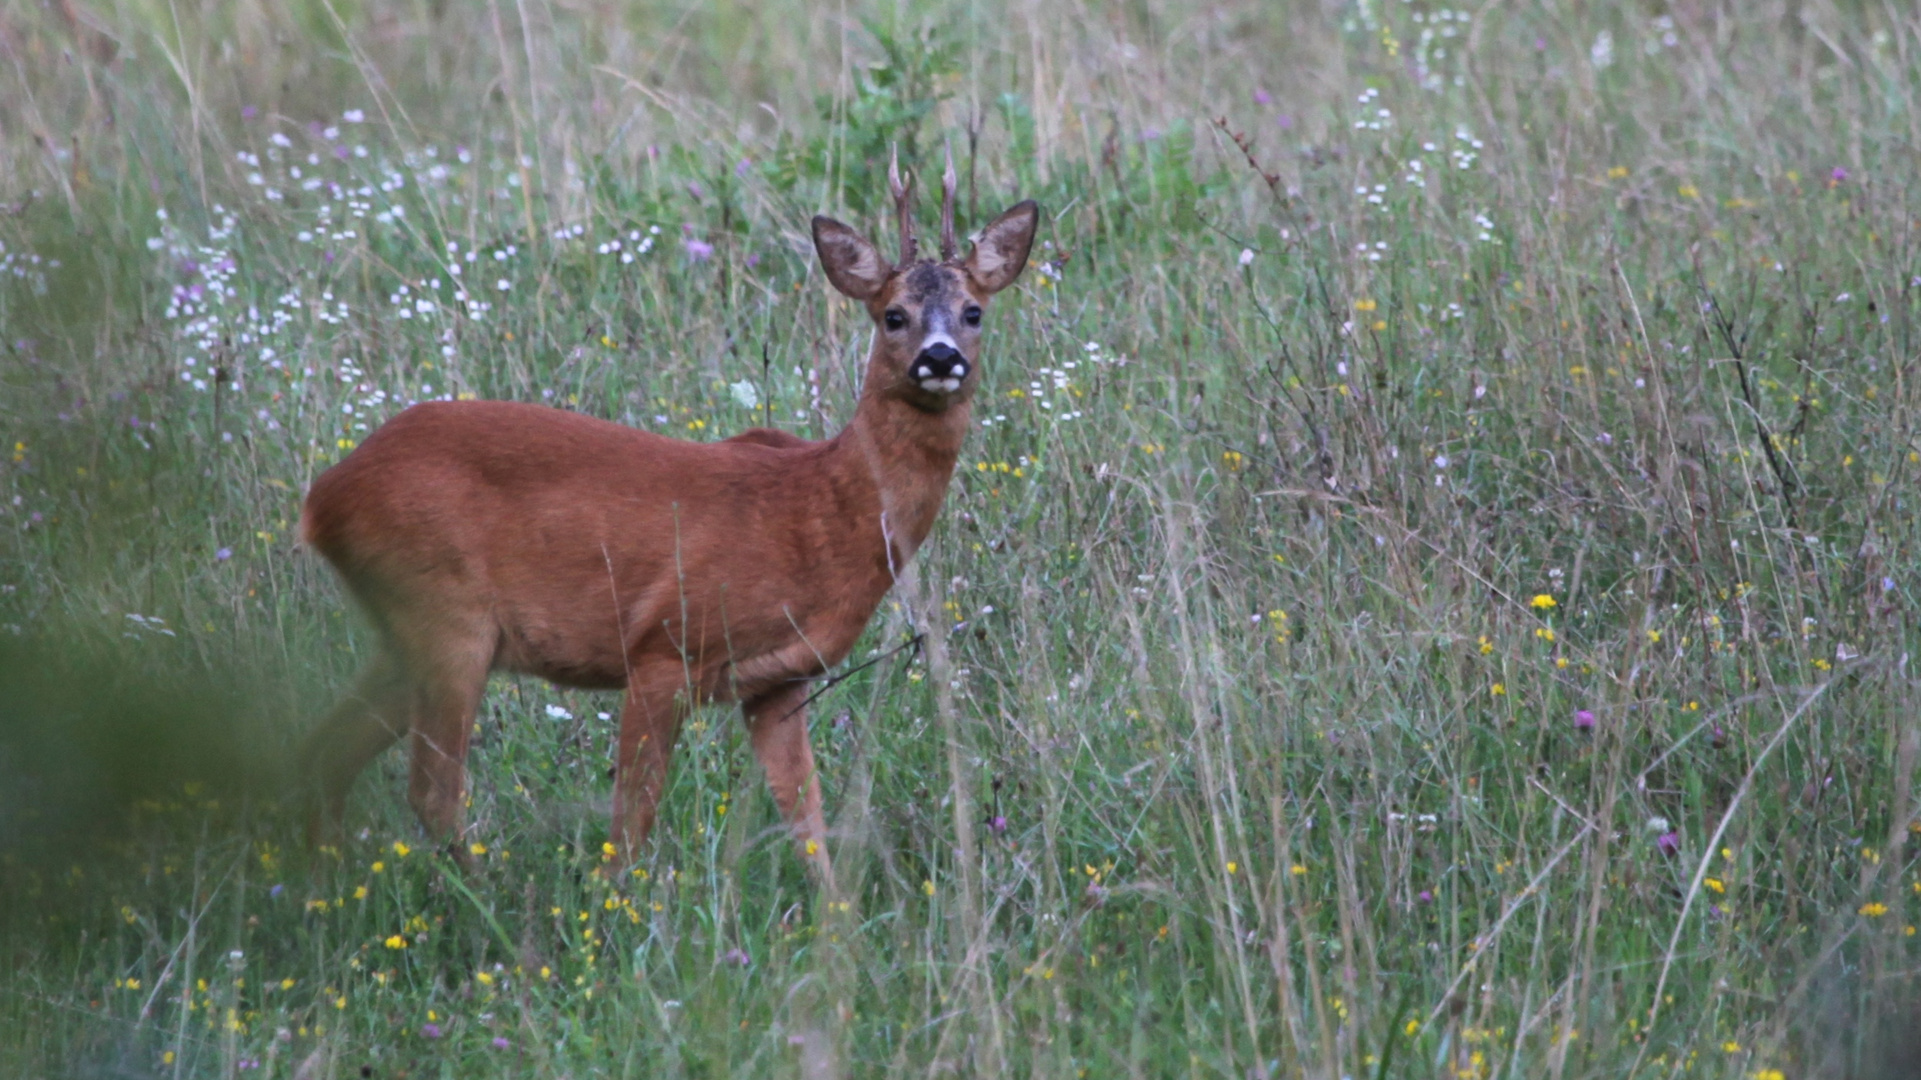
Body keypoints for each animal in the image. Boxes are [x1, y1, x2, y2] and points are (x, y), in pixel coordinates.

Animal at [297, 153, 1037, 876]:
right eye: (893, 314)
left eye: (973, 311)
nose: (939, 358)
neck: (819, 508)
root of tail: (323, 496)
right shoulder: (665, 642)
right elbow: (631, 826)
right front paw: (619, 905)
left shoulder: (779, 682)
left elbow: (809, 823)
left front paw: (834, 914)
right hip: (446, 614)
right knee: (431, 788)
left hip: (406, 633)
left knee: (322, 751)